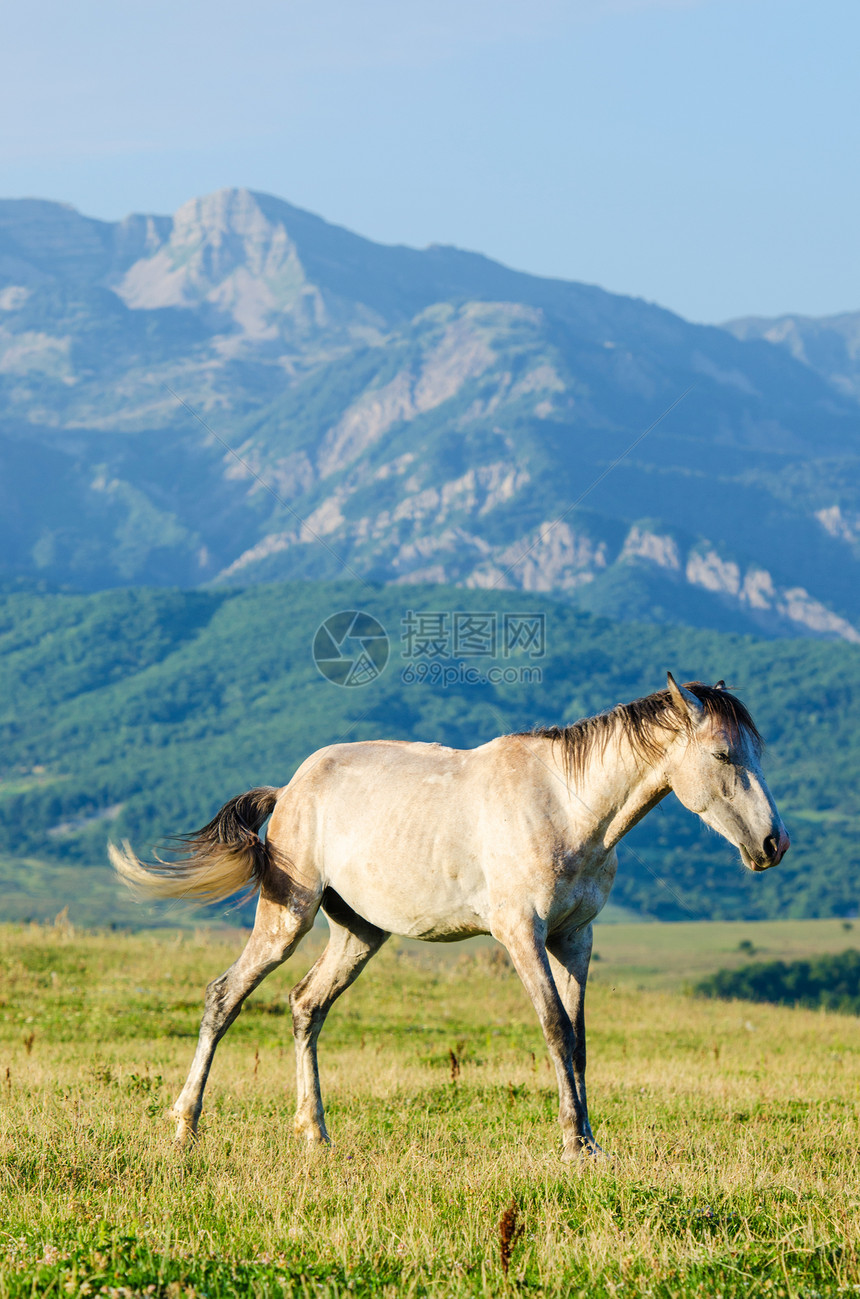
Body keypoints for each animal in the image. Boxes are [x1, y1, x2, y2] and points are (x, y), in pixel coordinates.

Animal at [111, 675, 789, 1163]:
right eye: (723, 753)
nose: (773, 845)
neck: (567, 807)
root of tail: (290, 790)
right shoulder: (522, 935)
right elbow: (555, 1029)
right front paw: (573, 1144)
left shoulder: (576, 939)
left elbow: (579, 1040)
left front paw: (592, 1140)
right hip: (287, 918)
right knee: (225, 997)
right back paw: (185, 1126)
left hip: (359, 932)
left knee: (307, 1005)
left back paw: (314, 1134)